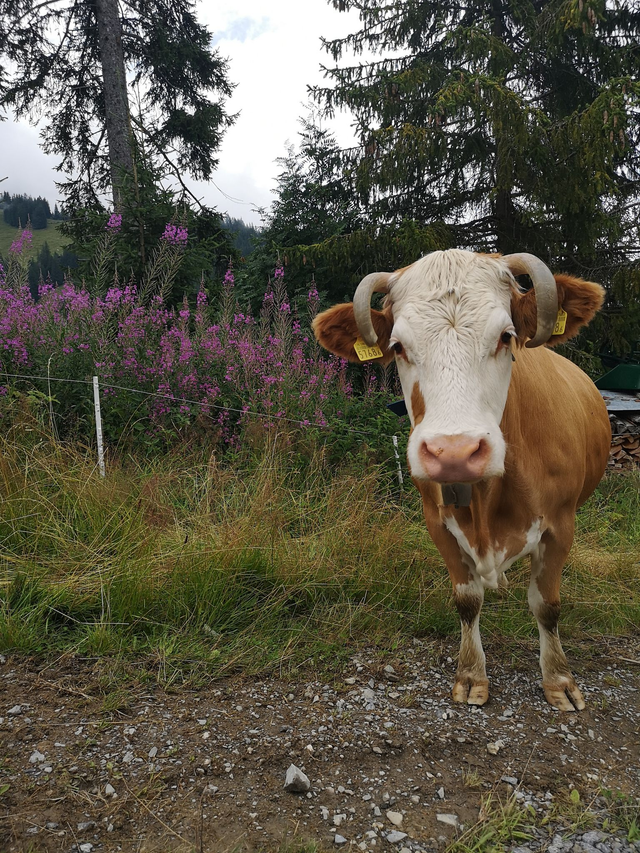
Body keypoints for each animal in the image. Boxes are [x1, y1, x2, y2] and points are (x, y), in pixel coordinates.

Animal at [313, 249, 611, 712]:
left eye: (507, 336)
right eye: (397, 346)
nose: (454, 451)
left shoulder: (560, 526)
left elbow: (547, 605)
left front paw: (558, 680)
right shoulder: (437, 523)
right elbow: (467, 600)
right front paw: (471, 674)